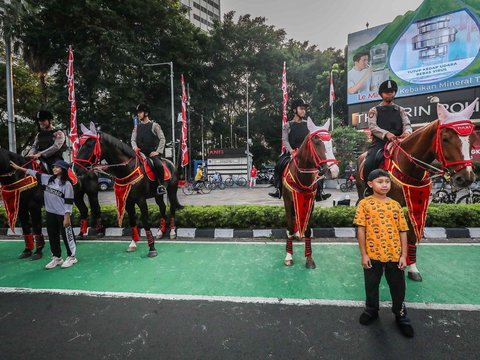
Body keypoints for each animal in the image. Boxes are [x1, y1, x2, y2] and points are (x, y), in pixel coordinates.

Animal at [74, 122, 183, 258]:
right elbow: (132, 220)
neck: (127, 169)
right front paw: (133, 243)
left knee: (172, 208)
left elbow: (145, 221)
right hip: (157, 194)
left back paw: (172, 231)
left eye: (89, 144)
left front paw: (152, 248)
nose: (75, 168)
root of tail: (170, 163)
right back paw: (160, 231)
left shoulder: (141, 200)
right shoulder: (128, 200)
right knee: (162, 207)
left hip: (172, 190)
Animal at [282, 119, 342, 268]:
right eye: (317, 141)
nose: (334, 171)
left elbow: (308, 230)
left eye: (332, 143)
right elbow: (289, 227)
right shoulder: (288, 202)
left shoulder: (311, 202)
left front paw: (309, 259)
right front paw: (289, 256)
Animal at [356, 98, 476, 282]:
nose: (466, 177)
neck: (410, 168)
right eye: (445, 139)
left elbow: (411, 234)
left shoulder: (416, 203)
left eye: (471, 138)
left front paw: (411, 266)